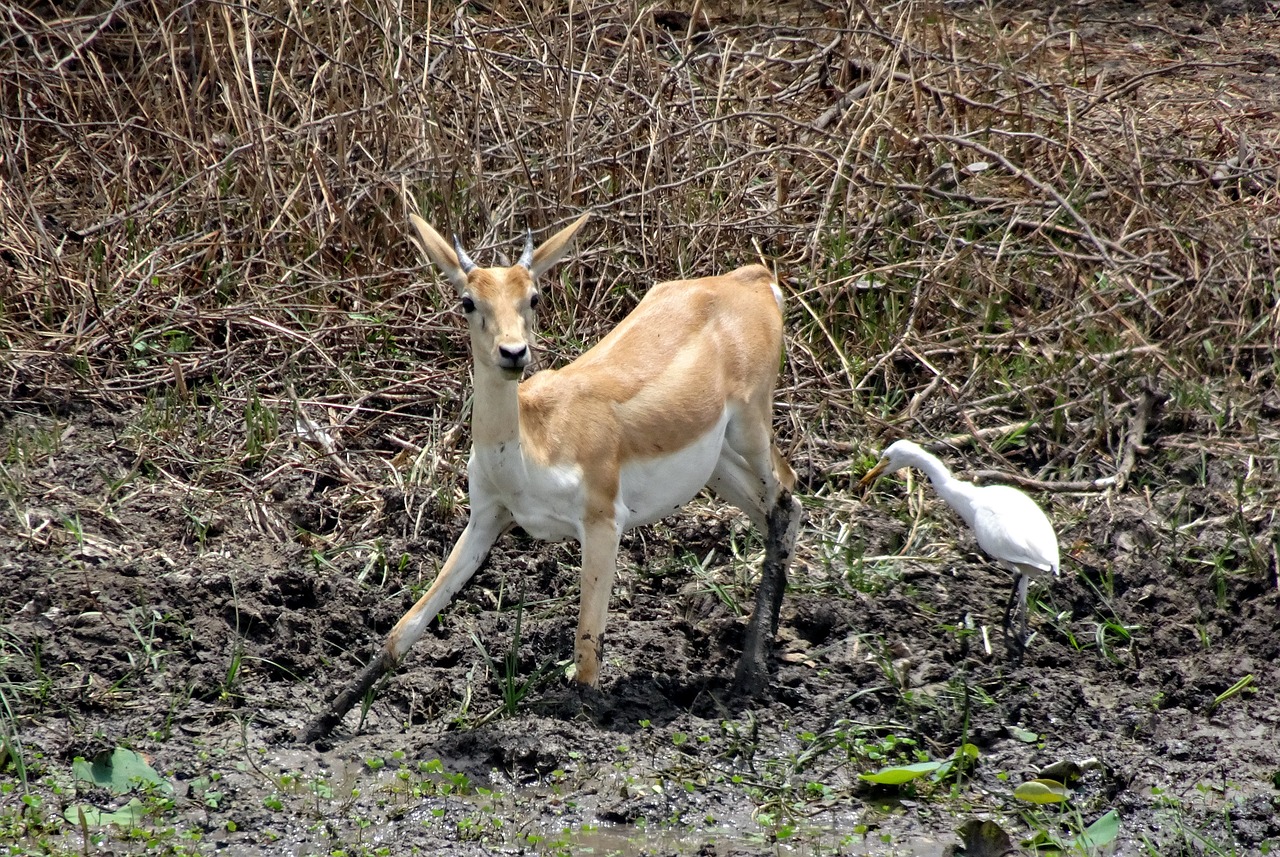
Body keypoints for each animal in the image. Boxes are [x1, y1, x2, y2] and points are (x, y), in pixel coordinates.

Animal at [299, 211, 798, 741]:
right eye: (468, 300)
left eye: (533, 297)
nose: (513, 352)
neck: (536, 444)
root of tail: (752, 278)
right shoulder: (486, 519)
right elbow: (407, 625)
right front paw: (319, 722)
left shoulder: (603, 523)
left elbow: (586, 647)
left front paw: (575, 720)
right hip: (717, 465)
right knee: (774, 512)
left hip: (751, 428)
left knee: (787, 499)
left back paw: (751, 677)